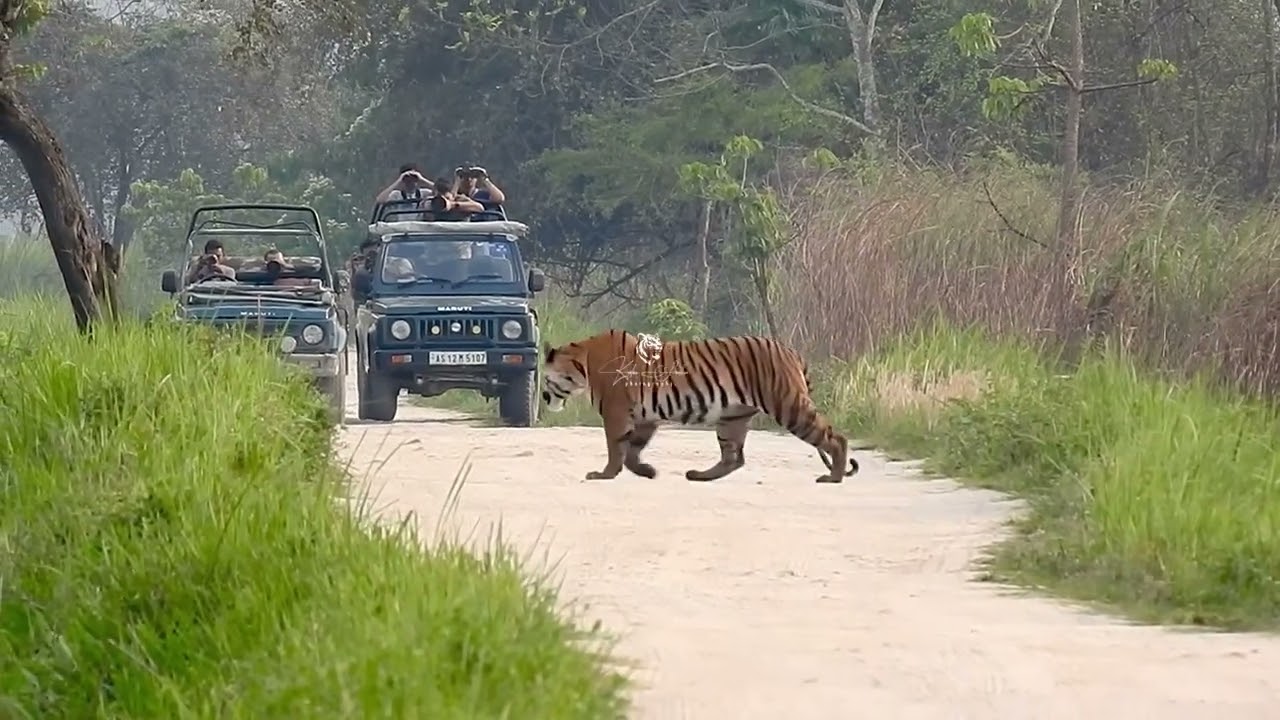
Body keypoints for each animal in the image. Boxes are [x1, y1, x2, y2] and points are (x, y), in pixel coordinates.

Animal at [541, 329, 859, 484]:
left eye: (545, 379)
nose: (543, 398)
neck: (581, 362)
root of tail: (791, 350)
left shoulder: (616, 412)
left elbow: (615, 448)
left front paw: (604, 474)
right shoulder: (644, 417)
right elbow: (631, 451)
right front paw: (647, 471)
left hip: (788, 405)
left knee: (836, 439)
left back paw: (833, 477)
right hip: (733, 417)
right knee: (733, 457)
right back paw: (699, 476)